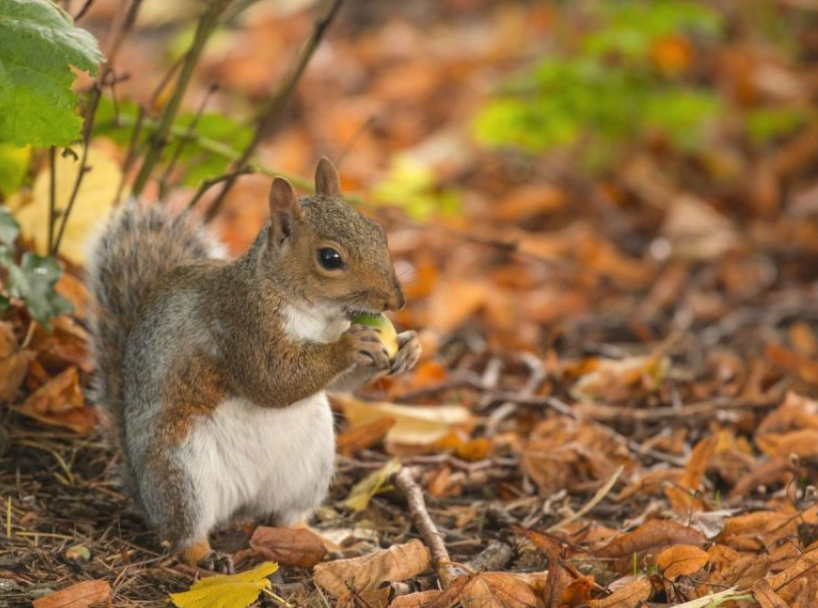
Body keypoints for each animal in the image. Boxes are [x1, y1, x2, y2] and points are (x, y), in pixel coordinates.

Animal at [87, 157, 420, 568]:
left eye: (378, 232)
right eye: (330, 258)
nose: (396, 301)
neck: (312, 311)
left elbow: (338, 384)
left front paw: (408, 347)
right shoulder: (241, 323)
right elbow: (270, 379)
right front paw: (349, 345)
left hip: (308, 467)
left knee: (288, 517)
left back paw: (323, 542)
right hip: (182, 472)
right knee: (183, 532)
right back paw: (206, 557)